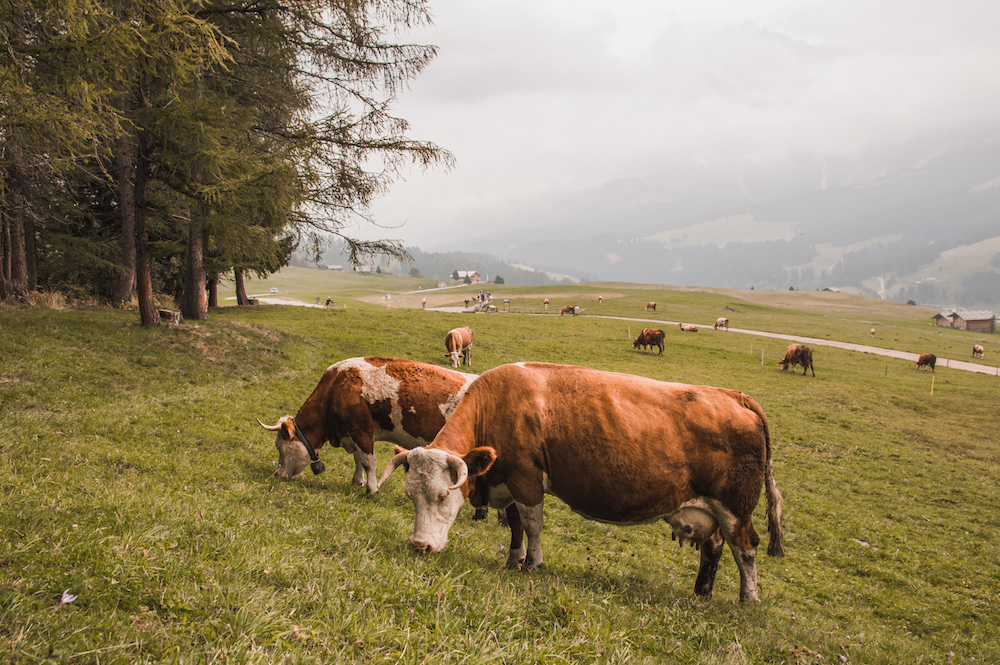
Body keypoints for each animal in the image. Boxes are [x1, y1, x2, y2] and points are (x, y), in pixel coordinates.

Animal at [258, 358, 476, 492]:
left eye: (279, 447)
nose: (278, 474)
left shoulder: (362, 430)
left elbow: (369, 461)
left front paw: (372, 488)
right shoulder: (352, 433)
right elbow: (358, 459)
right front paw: (357, 481)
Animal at [378, 360, 784, 604]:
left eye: (442, 495)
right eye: (410, 495)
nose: (419, 545)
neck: (498, 405)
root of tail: (735, 396)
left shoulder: (526, 479)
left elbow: (532, 524)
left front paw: (532, 564)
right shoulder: (509, 481)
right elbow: (515, 525)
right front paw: (513, 559)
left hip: (735, 506)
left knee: (745, 547)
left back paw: (748, 598)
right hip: (713, 509)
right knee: (714, 547)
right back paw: (702, 592)